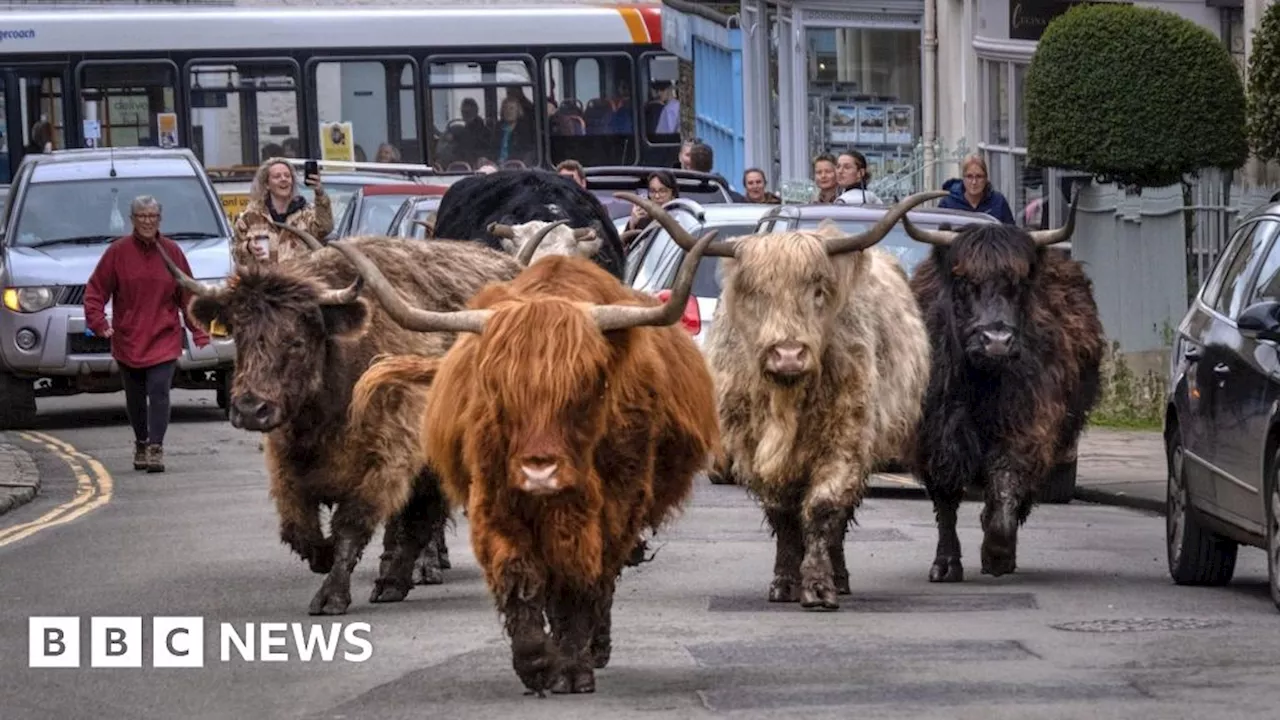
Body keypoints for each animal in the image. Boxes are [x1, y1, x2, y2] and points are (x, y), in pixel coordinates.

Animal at [161, 229, 529, 609]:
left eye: (296, 341)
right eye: (239, 335)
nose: (250, 408)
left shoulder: (386, 459)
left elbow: (353, 524)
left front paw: (331, 596)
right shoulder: (285, 462)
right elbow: (299, 527)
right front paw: (322, 557)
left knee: (419, 519)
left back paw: (394, 581)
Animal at [906, 192, 1105, 584]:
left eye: (1019, 282)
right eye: (963, 280)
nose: (996, 341)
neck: (979, 383)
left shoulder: (1025, 427)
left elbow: (1006, 487)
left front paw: (997, 554)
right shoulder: (937, 436)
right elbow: (946, 502)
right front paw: (946, 564)